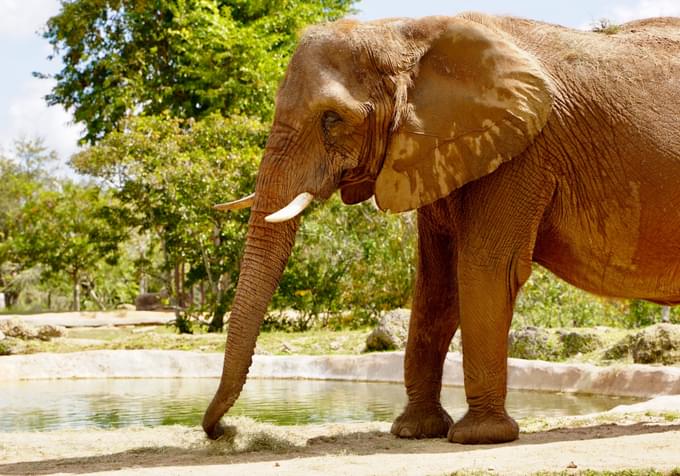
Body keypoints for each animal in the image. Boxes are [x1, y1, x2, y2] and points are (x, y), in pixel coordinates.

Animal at [205, 13, 680, 446]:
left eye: (332, 118)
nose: (223, 431)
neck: (404, 34)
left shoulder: (523, 152)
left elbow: (486, 269)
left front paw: (479, 436)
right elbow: (437, 284)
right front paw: (414, 431)